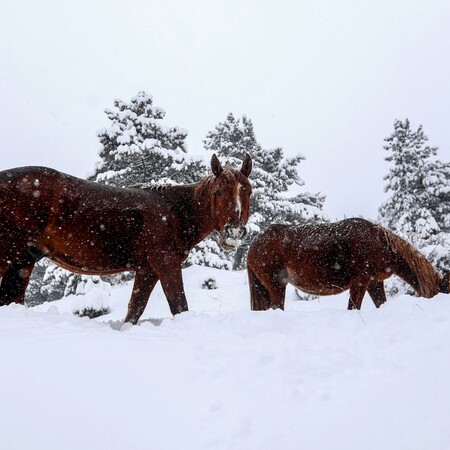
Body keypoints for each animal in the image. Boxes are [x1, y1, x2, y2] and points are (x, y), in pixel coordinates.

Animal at [0, 155, 253, 324]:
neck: (174, 211)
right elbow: (179, 305)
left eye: (248, 191)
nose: (234, 234)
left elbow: (134, 309)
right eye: (218, 192)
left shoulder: (147, 271)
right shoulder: (167, 265)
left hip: (22, 262)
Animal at [246, 219, 450, 312]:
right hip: (277, 285)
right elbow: (353, 308)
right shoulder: (360, 282)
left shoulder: (374, 282)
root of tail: (254, 245)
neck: (379, 242)